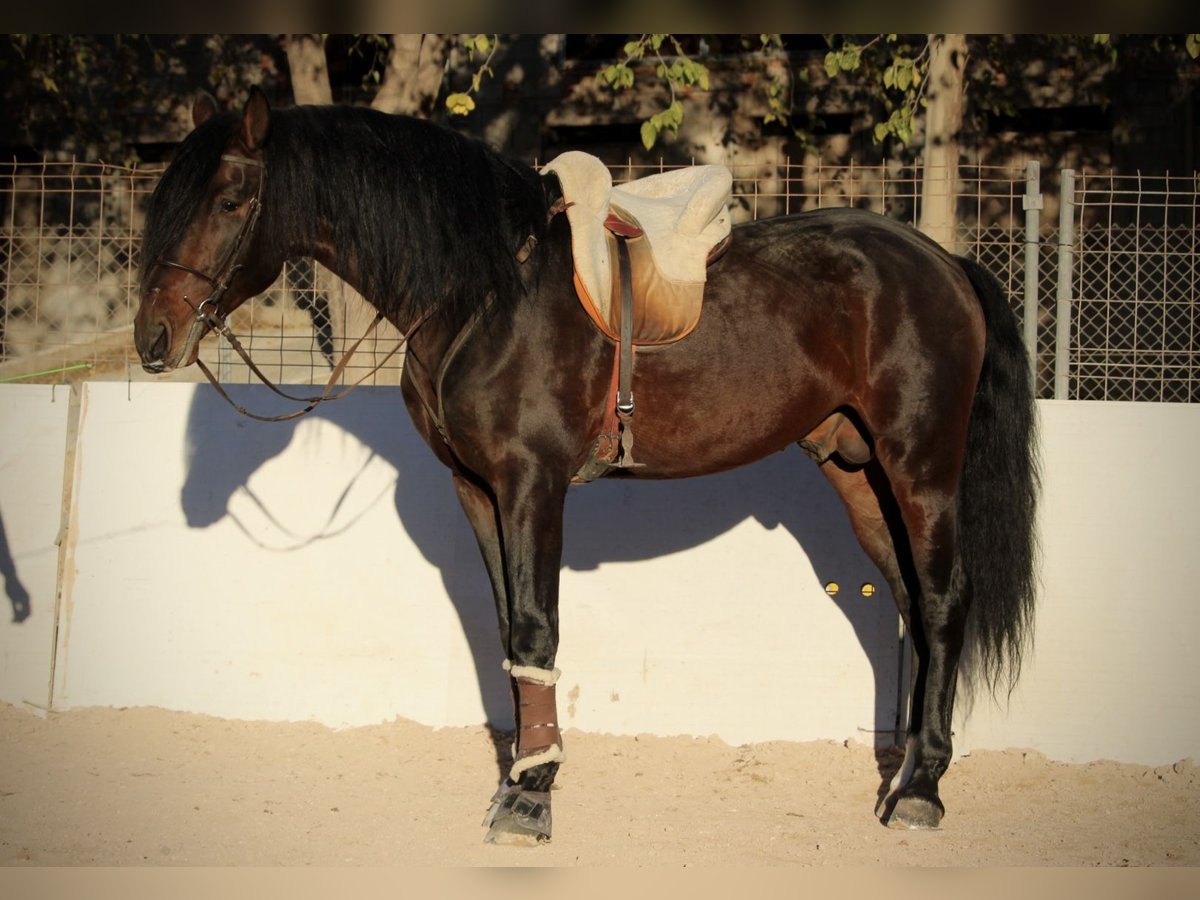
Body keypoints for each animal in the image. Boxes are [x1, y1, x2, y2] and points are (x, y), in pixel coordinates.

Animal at [129, 88, 1032, 844]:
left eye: (231, 200)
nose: (154, 338)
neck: (488, 290)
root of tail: (944, 263)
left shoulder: (533, 484)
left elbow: (537, 627)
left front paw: (532, 800)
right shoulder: (478, 490)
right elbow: (510, 638)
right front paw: (523, 777)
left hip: (920, 467)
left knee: (943, 604)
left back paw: (924, 792)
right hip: (858, 473)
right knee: (912, 604)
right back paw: (905, 773)